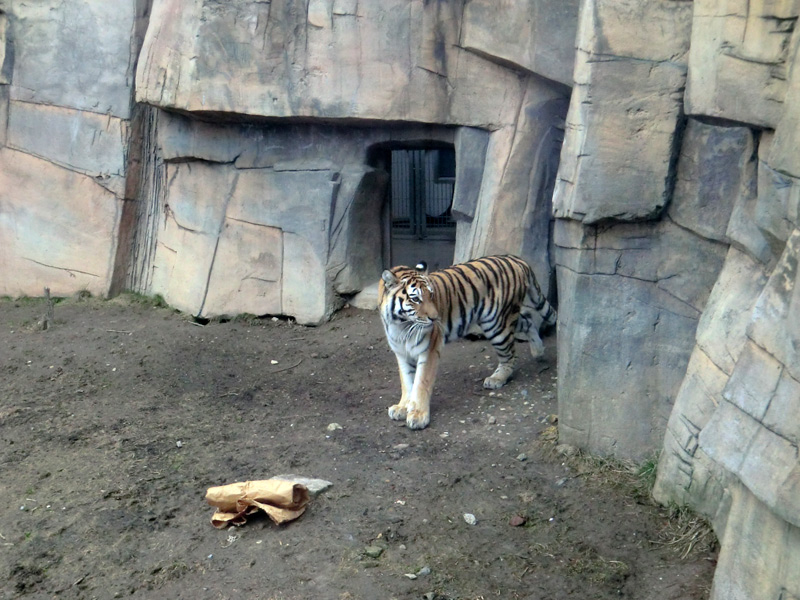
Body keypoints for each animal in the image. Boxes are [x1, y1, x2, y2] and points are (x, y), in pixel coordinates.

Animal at [380, 255, 556, 428]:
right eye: (415, 299)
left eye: (431, 295)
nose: (435, 318)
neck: (401, 325)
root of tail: (517, 260)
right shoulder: (401, 353)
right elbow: (407, 382)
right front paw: (403, 407)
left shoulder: (429, 350)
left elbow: (421, 382)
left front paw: (418, 415)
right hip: (503, 319)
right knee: (528, 321)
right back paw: (538, 351)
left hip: (497, 325)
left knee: (510, 354)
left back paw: (497, 379)